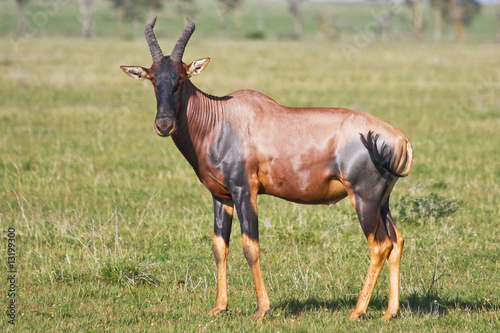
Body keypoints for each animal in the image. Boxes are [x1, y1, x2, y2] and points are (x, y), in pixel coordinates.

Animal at [121, 17, 414, 320]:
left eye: (181, 78)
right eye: (154, 80)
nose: (163, 124)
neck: (221, 118)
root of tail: (399, 137)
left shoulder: (244, 190)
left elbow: (251, 246)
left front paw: (262, 309)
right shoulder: (221, 196)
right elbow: (219, 247)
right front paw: (219, 306)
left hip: (363, 198)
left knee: (380, 245)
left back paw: (357, 311)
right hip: (381, 201)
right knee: (397, 241)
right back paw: (390, 311)